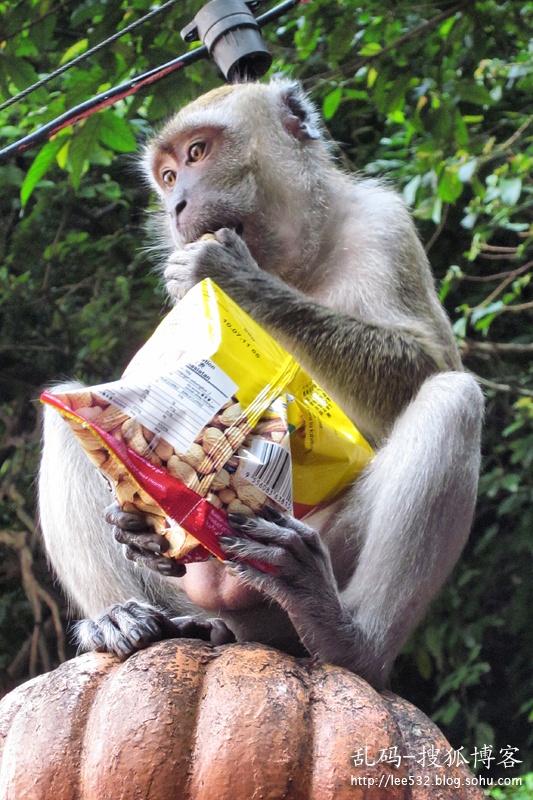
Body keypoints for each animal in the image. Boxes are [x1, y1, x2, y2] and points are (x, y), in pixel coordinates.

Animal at [39, 81, 484, 688]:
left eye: (198, 153)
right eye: (168, 176)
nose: (177, 207)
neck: (295, 263)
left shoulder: (385, 224)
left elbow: (429, 361)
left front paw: (228, 271)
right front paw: (131, 525)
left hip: (289, 558)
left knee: (451, 398)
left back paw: (350, 640)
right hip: (195, 588)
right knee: (63, 426)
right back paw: (127, 617)